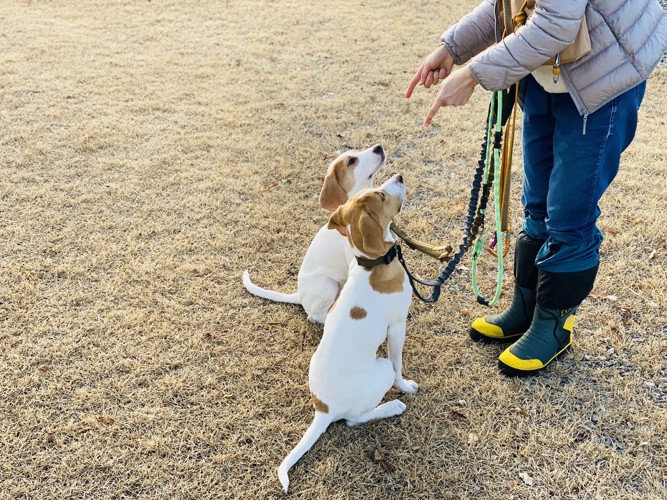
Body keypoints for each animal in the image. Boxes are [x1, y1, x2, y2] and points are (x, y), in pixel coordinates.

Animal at [276, 175, 418, 492]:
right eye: (381, 195)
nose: (400, 177)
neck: (372, 264)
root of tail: (324, 409)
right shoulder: (397, 326)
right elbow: (399, 364)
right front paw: (406, 386)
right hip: (380, 371)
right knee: (355, 419)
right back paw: (392, 406)